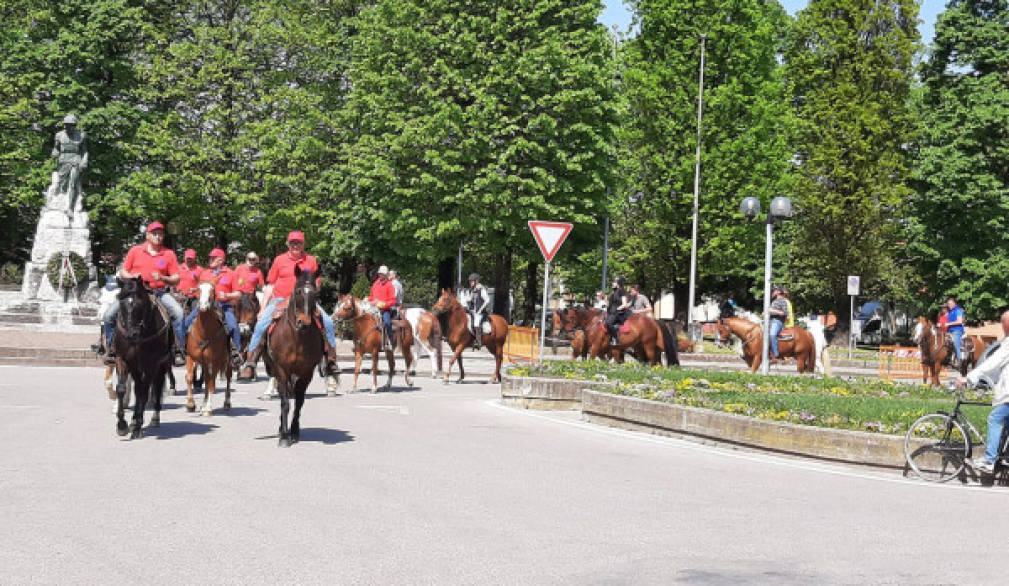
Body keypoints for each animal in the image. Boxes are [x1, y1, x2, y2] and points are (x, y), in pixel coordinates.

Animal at [113, 276, 172, 435]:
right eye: (120, 302)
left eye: (140, 303)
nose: (131, 334)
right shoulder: (122, 359)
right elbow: (121, 389)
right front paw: (122, 424)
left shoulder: (151, 364)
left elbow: (145, 392)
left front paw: (138, 425)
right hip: (136, 368)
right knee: (138, 389)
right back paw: (133, 421)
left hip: (161, 366)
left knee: (156, 388)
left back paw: (154, 418)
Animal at [184, 280, 233, 413]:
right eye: (198, 289)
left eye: (212, 290)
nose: (203, 306)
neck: (204, 333)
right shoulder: (191, 357)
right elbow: (189, 377)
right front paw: (191, 404)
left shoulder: (214, 361)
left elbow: (211, 384)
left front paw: (208, 408)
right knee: (206, 379)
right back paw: (203, 404)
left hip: (227, 361)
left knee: (227, 377)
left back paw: (226, 402)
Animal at [264, 268, 322, 445]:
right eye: (297, 292)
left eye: (316, 294)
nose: (304, 323)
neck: (297, 338)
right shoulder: (281, 370)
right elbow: (285, 403)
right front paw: (284, 436)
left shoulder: (307, 372)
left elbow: (299, 403)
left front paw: (294, 431)